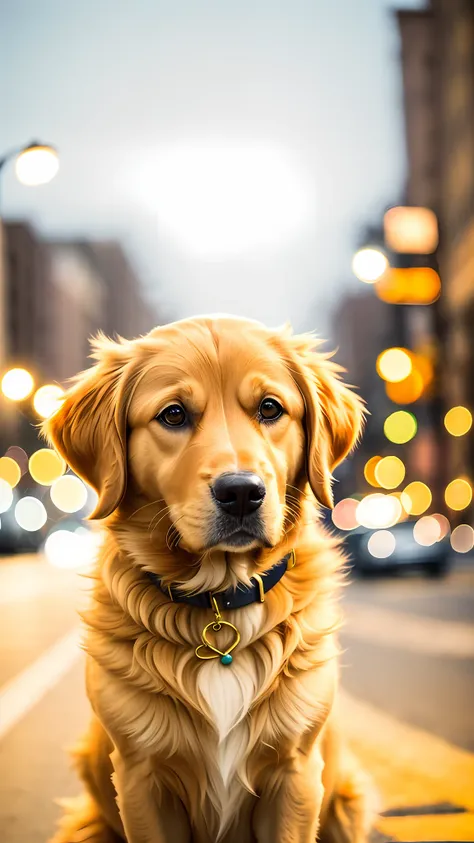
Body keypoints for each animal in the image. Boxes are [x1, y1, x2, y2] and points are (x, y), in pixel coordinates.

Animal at [46, 314, 376, 843]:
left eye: (270, 408)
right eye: (174, 415)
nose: (241, 492)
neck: (220, 603)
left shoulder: (296, 774)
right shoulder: (142, 780)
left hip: (347, 800)